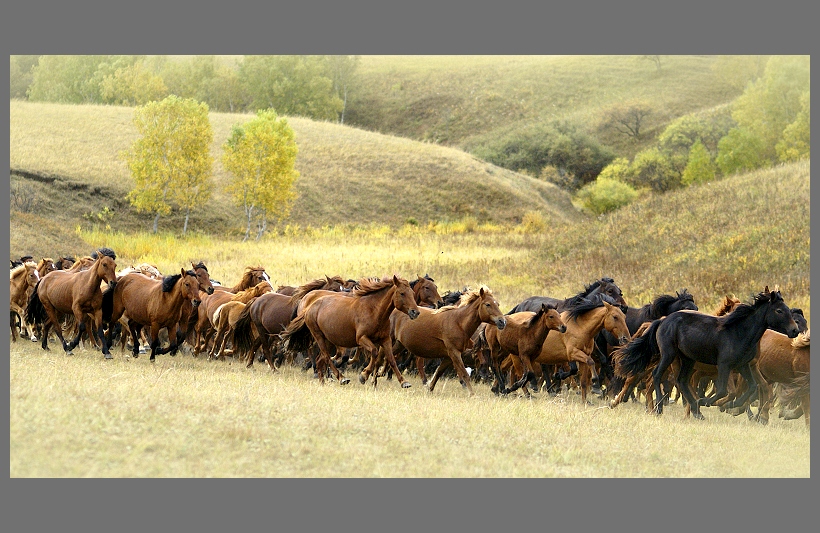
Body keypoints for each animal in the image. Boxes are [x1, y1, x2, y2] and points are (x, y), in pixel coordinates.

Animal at [284, 274, 422, 386]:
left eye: (412, 293)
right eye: (402, 293)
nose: (415, 312)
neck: (374, 311)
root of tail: (310, 306)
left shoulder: (385, 339)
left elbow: (391, 359)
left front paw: (404, 382)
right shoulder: (361, 338)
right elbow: (374, 352)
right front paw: (364, 375)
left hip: (328, 339)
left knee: (320, 359)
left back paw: (323, 381)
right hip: (318, 336)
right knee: (326, 357)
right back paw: (341, 378)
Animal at [620, 286, 796, 420]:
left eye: (787, 310)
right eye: (779, 311)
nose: (794, 330)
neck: (739, 332)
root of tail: (663, 320)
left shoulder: (743, 366)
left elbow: (752, 387)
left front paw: (731, 405)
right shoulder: (724, 365)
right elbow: (723, 390)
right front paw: (707, 402)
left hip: (687, 359)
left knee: (681, 381)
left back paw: (696, 410)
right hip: (668, 354)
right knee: (657, 375)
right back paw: (660, 408)